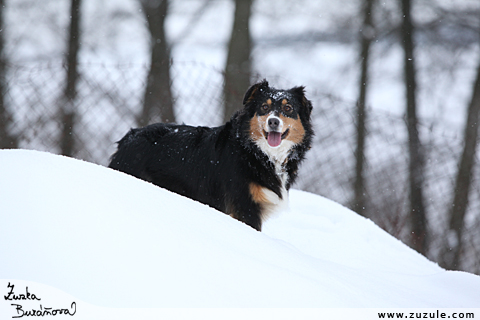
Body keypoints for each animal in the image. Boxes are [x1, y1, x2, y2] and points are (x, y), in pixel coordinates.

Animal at [110, 79, 316, 230]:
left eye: (288, 108)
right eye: (264, 107)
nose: (273, 122)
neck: (256, 153)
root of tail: (127, 139)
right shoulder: (244, 207)